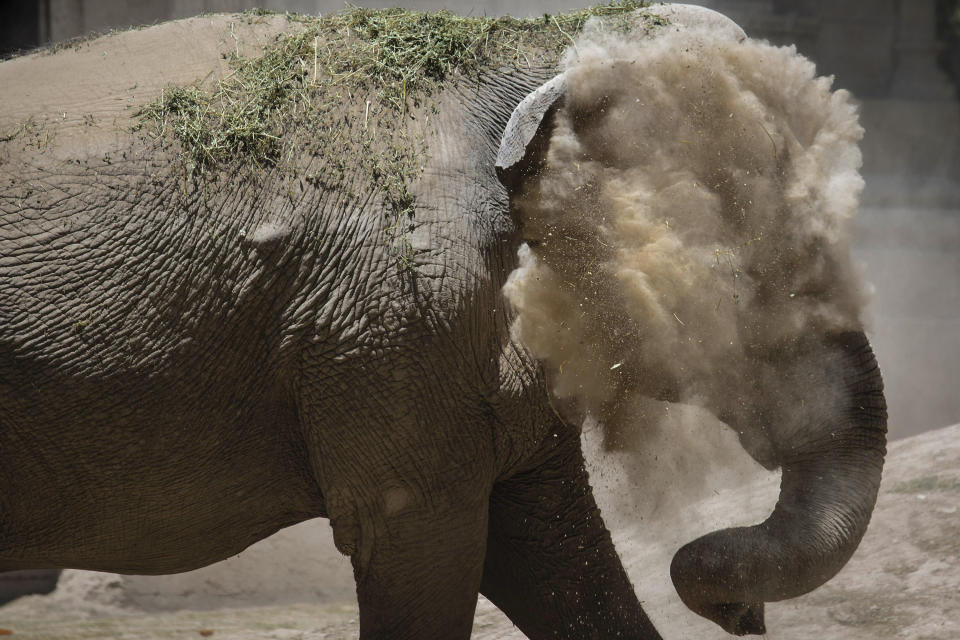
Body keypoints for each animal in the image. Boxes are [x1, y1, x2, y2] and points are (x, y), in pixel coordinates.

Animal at [0, 5, 884, 640]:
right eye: (743, 279)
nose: (743, 617)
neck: (532, 43)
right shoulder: (394, 323)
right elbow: (426, 546)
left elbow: (556, 557)